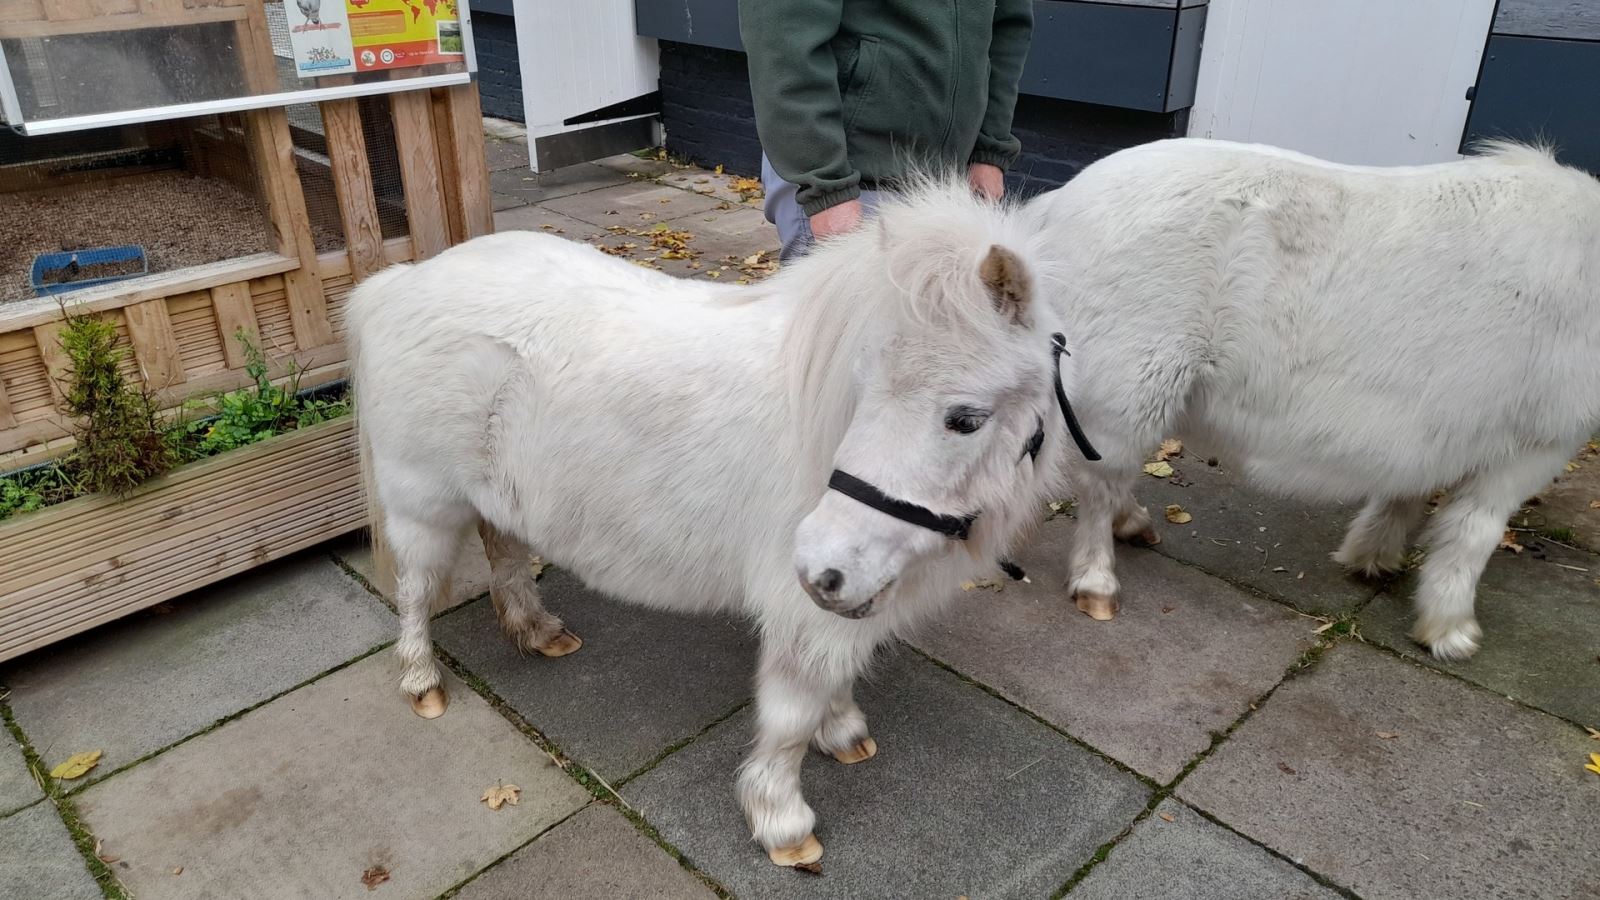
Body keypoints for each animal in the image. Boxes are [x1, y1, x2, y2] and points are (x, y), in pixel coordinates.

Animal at [350, 182, 1075, 864]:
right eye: (862, 385)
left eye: (966, 419)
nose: (822, 565)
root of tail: (402, 282)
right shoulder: (800, 608)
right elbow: (790, 716)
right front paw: (782, 823)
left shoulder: (844, 604)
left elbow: (834, 679)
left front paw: (841, 732)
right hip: (423, 505)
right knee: (416, 591)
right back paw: (422, 682)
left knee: (502, 549)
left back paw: (536, 630)